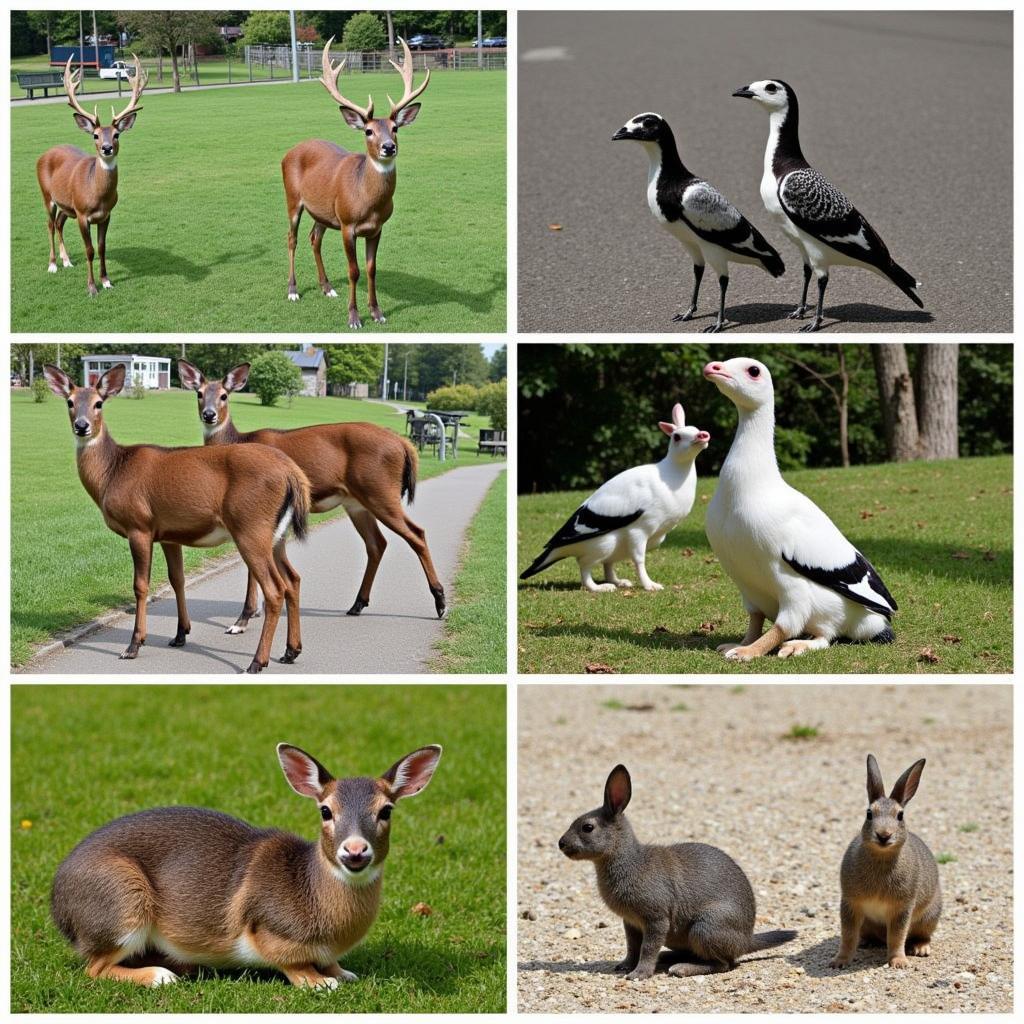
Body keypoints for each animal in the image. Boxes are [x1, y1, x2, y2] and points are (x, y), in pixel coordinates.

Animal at [37, 54, 148, 296]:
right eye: (95, 135)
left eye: (117, 134)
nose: (107, 148)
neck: (97, 196)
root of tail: (45, 153)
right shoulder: (82, 213)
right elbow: (89, 250)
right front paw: (91, 287)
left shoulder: (105, 215)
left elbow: (102, 247)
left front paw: (106, 281)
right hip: (47, 196)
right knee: (49, 224)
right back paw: (52, 265)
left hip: (66, 205)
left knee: (58, 223)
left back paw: (67, 260)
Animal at [180, 360, 444, 630]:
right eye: (199, 393)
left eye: (224, 395)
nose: (209, 414)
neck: (238, 441)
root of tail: (404, 444)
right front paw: (254, 612)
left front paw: (243, 618)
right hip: (357, 502)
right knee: (377, 543)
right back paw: (358, 604)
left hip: (381, 492)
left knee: (416, 533)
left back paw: (440, 602)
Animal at [280, 37, 432, 325]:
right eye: (369, 131)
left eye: (395, 128)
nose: (388, 147)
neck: (368, 202)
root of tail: (289, 151)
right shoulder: (347, 224)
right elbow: (354, 271)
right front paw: (354, 317)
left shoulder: (377, 227)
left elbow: (372, 269)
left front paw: (377, 313)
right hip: (293, 199)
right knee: (292, 238)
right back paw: (293, 291)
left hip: (323, 212)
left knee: (314, 238)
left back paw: (327, 287)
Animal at [557, 765, 794, 978]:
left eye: (587, 827)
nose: (560, 843)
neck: (632, 861)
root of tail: (747, 940)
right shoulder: (631, 923)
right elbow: (632, 947)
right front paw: (626, 966)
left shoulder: (656, 920)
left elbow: (647, 948)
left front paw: (640, 973)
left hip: (704, 927)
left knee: (723, 964)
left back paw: (682, 968)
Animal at [827, 753, 937, 966]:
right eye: (869, 814)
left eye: (900, 815)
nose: (884, 835)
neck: (881, 857)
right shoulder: (850, 903)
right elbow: (848, 935)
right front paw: (839, 961)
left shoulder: (902, 908)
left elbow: (897, 936)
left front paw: (898, 962)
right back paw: (865, 942)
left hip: (929, 916)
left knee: (922, 934)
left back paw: (921, 948)